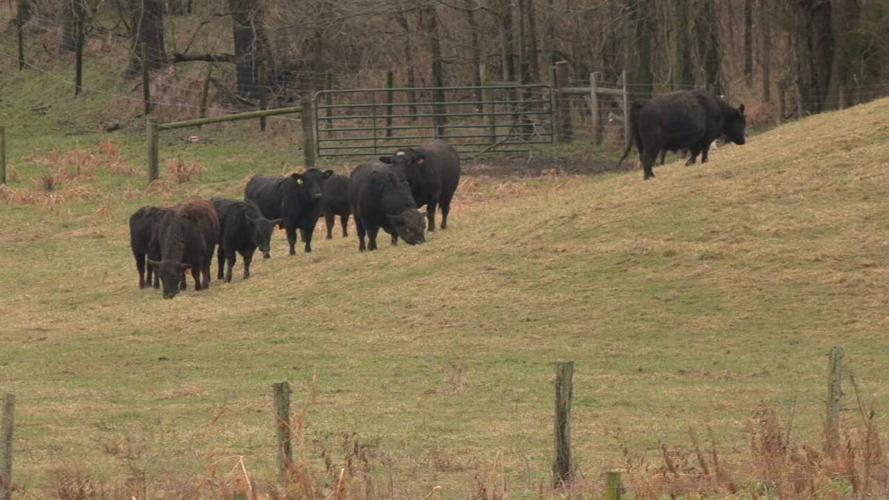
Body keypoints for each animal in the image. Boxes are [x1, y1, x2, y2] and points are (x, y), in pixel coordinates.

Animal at [616, 89, 746, 180]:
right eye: (742, 122)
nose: (744, 140)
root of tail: (644, 103)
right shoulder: (706, 138)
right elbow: (704, 150)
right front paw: (704, 161)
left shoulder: (695, 141)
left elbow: (696, 152)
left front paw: (689, 163)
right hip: (652, 145)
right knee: (647, 158)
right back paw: (649, 177)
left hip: (641, 144)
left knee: (643, 159)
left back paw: (650, 176)